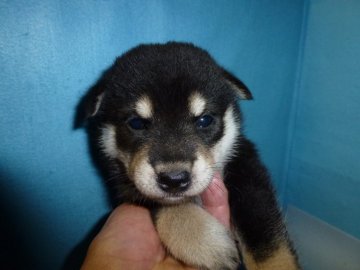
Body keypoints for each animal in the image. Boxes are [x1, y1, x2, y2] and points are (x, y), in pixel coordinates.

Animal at [76, 42, 300, 270]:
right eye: (136, 123)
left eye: (204, 120)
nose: (174, 179)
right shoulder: (127, 185)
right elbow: (166, 205)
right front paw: (207, 243)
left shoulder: (246, 168)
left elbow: (267, 244)